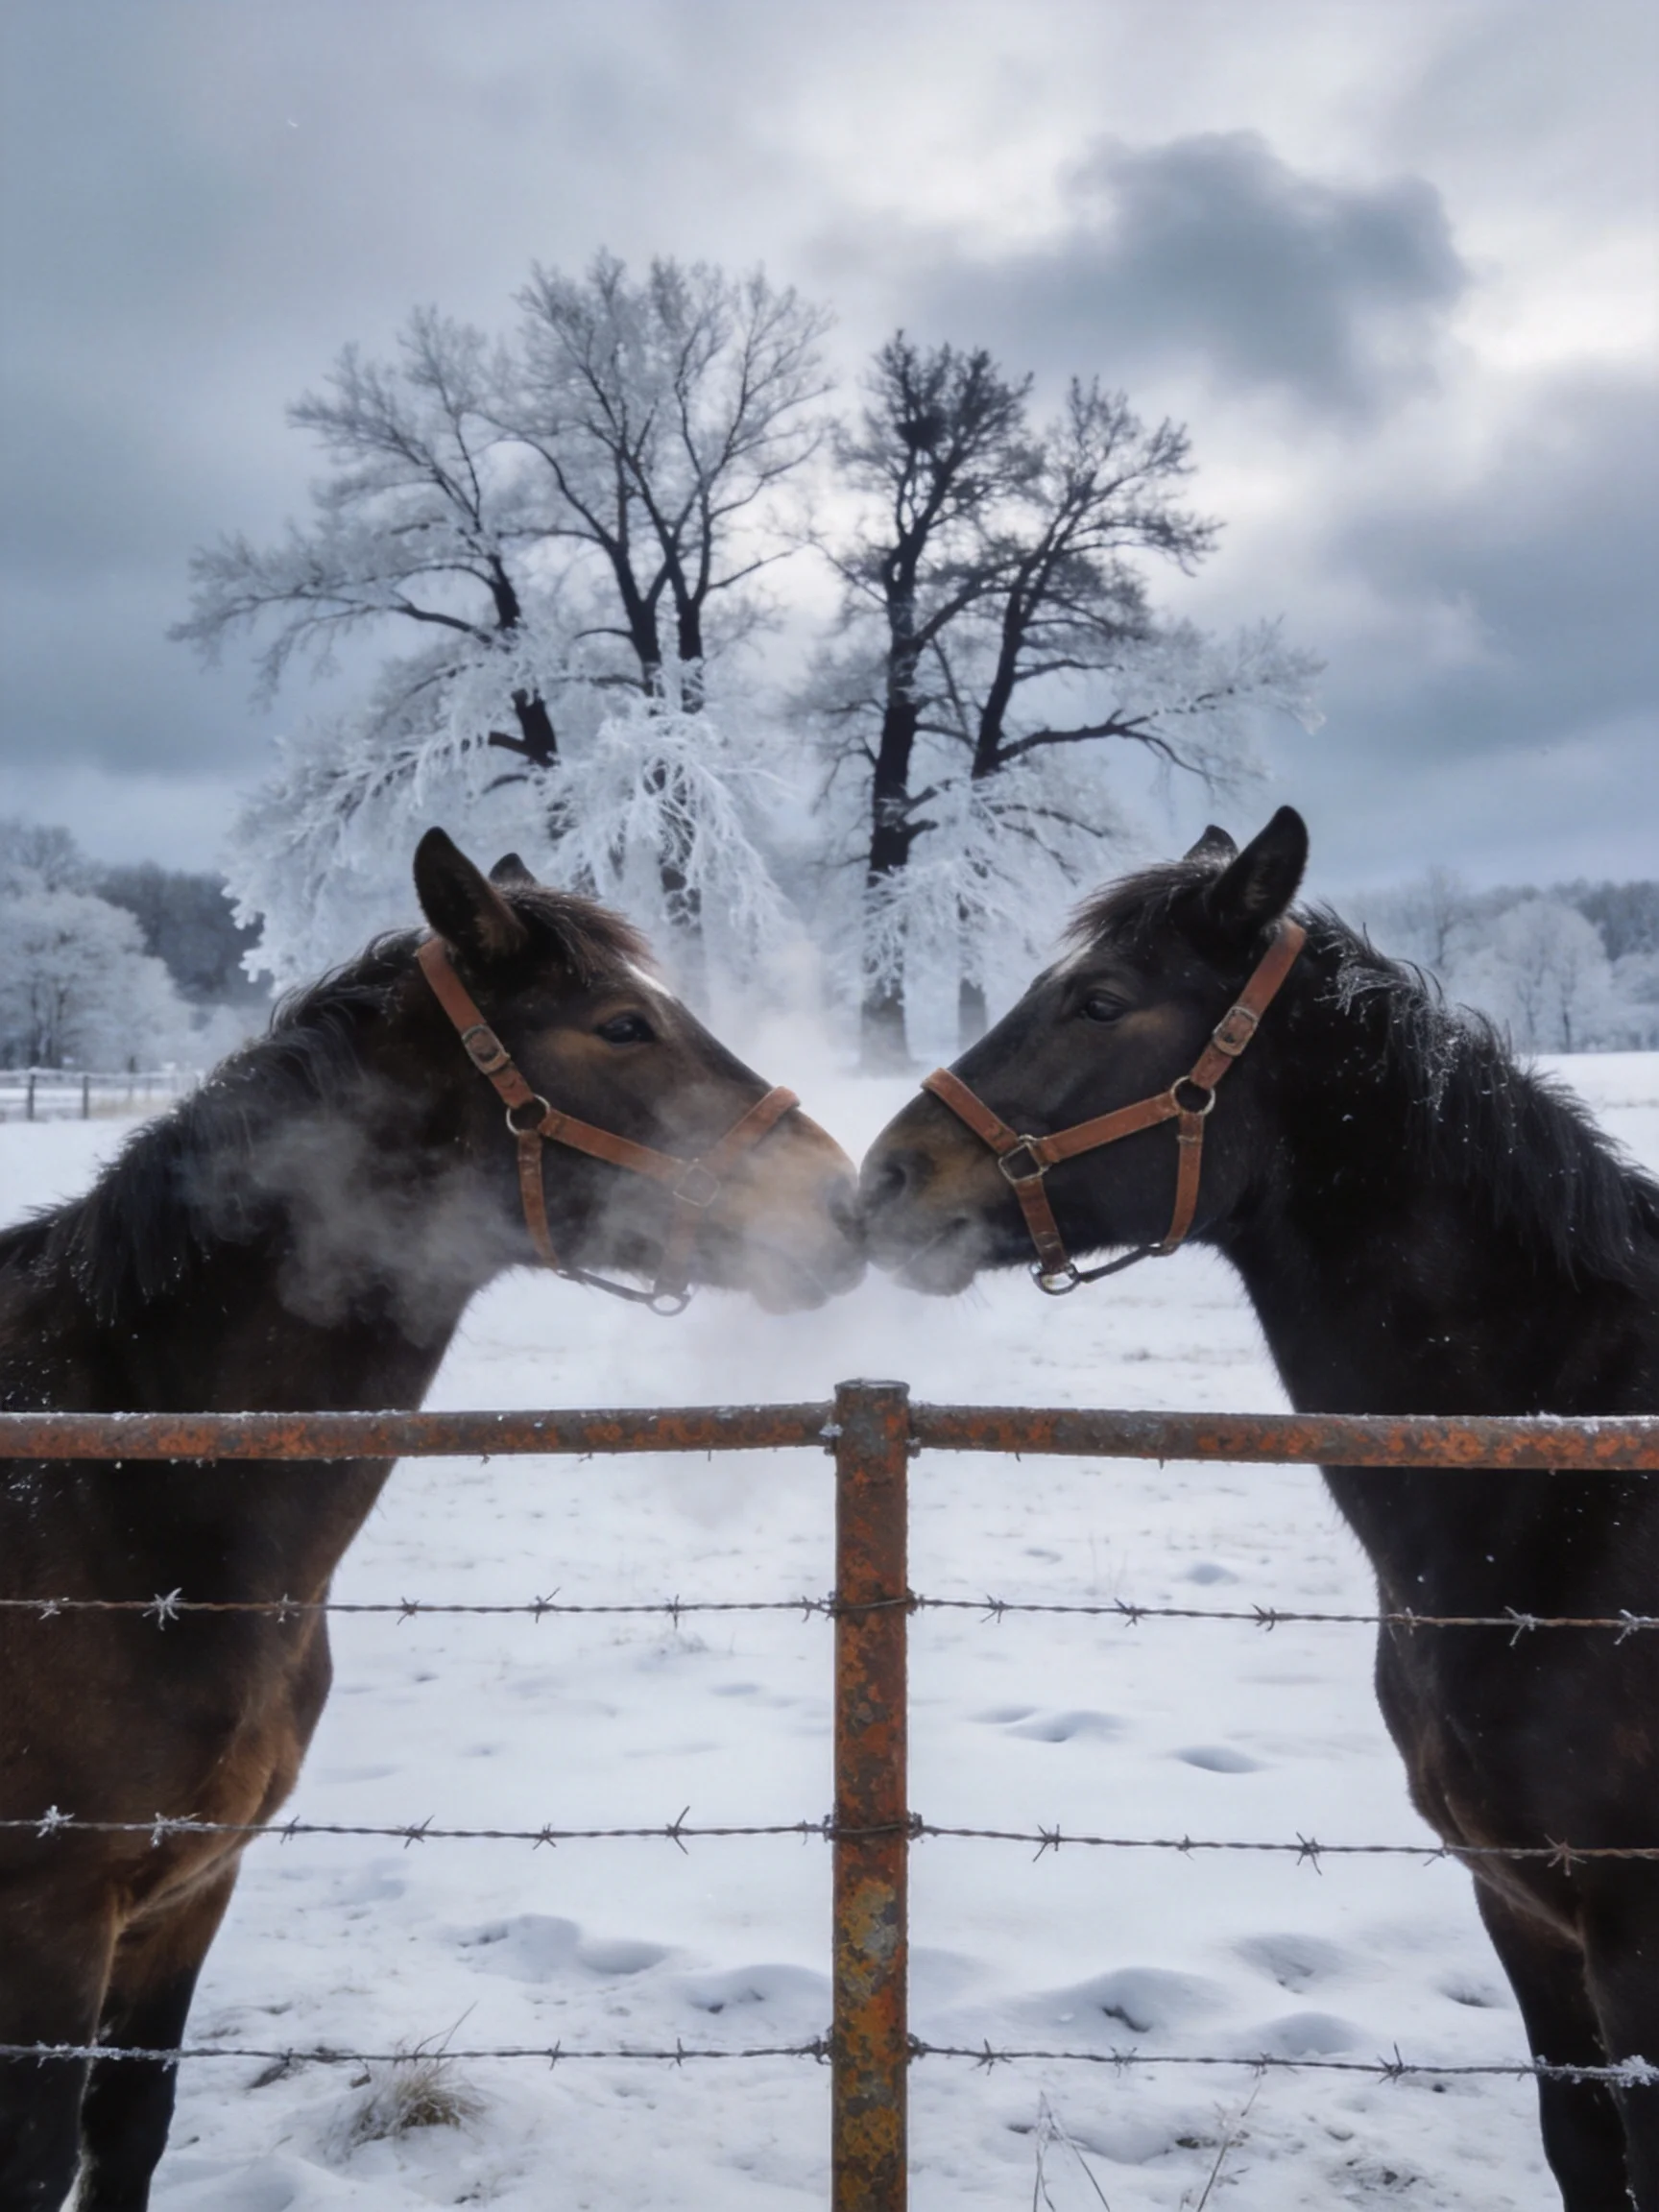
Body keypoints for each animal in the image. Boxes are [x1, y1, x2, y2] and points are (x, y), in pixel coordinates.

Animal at [0, 828, 862, 2212]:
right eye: (623, 1025)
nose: (841, 1206)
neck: (121, 1483)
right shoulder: (51, 1915)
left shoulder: (188, 1894)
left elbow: (127, 2129)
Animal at [860, 806, 1659, 2211]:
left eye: (1100, 999)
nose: (882, 1182)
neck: (1568, 1471)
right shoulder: (1526, 1917)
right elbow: (1582, 2153)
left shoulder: (1638, 1942)